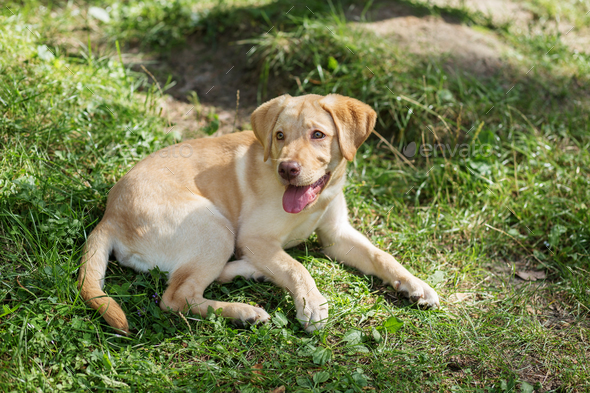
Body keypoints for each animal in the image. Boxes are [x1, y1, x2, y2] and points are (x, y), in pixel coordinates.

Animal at [77, 93, 440, 332]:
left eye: (318, 135)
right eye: (279, 136)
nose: (287, 169)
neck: (315, 201)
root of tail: (108, 216)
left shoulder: (336, 236)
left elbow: (381, 256)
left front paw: (415, 284)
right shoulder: (255, 238)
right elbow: (296, 267)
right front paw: (311, 303)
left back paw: (251, 272)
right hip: (216, 227)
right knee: (177, 297)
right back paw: (244, 311)